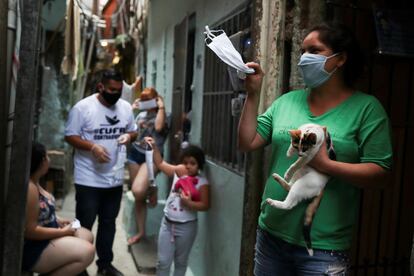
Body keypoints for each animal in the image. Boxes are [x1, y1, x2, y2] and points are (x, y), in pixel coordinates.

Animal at [266, 123, 336, 256]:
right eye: (296, 145)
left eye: (304, 148)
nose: (298, 154)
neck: (309, 130)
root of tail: (322, 187)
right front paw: (289, 152)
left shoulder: (311, 154)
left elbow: (296, 163)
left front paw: (288, 170)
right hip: (300, 174)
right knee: (289, 186)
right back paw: (278, 177)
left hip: (303, 184)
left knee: (289, 204)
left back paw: (273, 201)